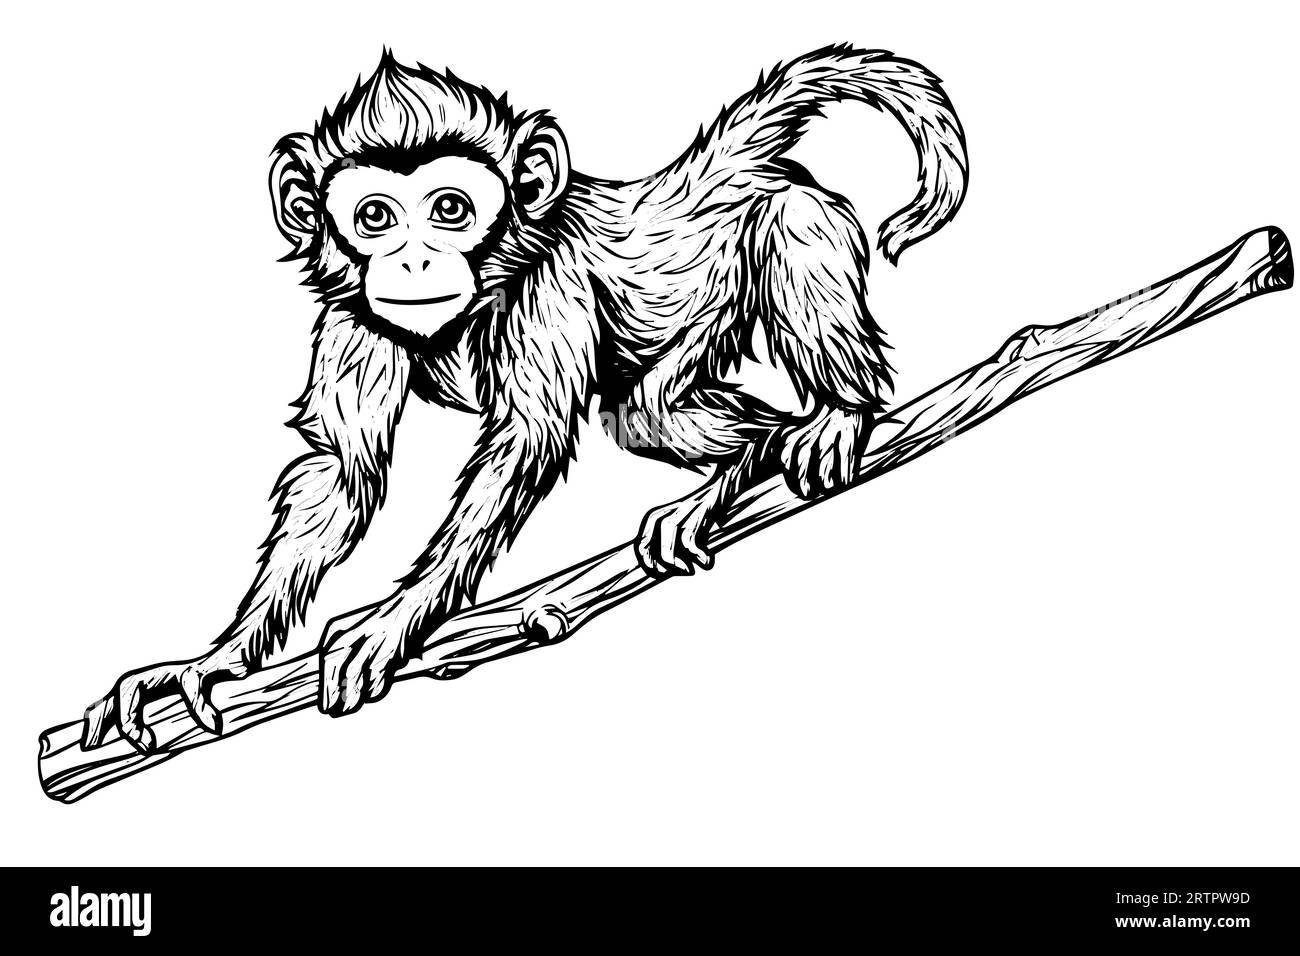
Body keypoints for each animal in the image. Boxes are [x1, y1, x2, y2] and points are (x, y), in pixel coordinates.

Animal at [83, 44, 967, 749]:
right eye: (375, 218)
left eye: (450, 209)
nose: (412, 261)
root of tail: (706, 175)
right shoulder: (351, 315)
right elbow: (342, 469)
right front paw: (218, 660)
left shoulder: (552, 286)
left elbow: (524, 441)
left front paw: (393, 621)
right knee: (640, 414)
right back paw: (750, 456)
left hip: (794, 224)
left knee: (782, 228)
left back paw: (836, 414)